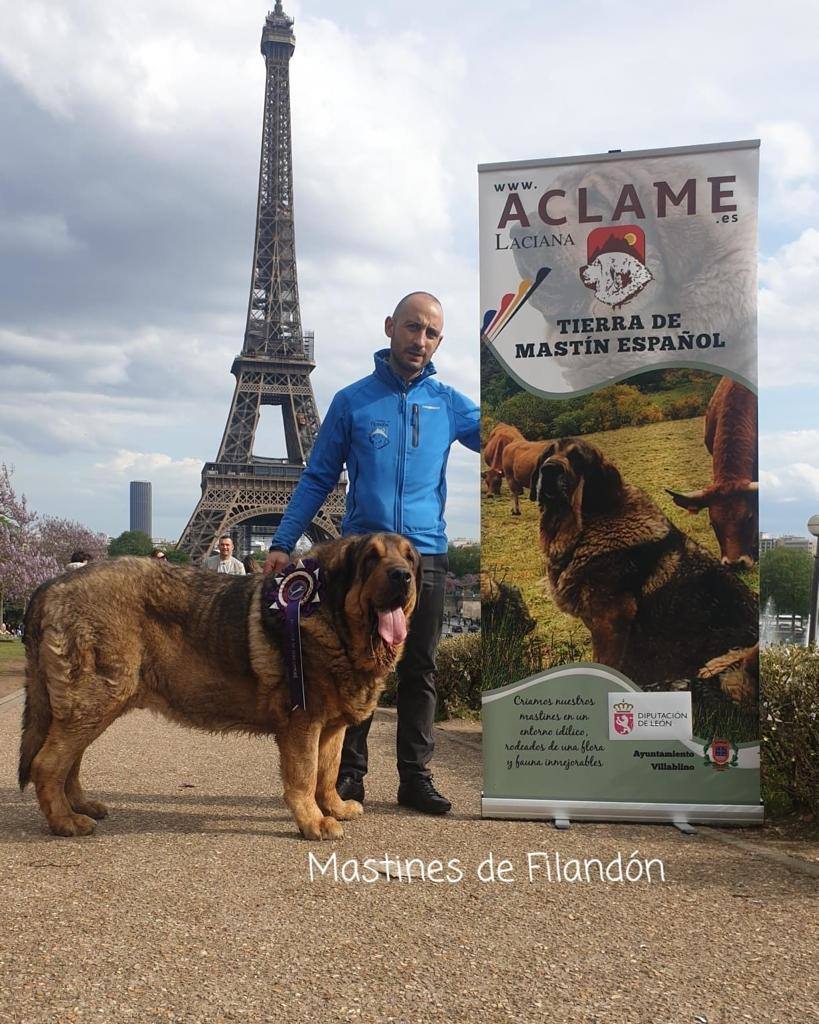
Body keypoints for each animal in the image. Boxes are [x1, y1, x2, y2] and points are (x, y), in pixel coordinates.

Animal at [19, 536, 421, 839]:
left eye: (409, 557)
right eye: (371, 558)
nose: (403, 576)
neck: (333, 617)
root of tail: (51, 586)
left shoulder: (331, 728)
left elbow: (328, 772)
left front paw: (334, 807)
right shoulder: (303, 724)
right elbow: (305, 777)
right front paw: (312, 821)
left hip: (92, 706)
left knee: (69, 760)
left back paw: (79, 806)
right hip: (96, 698)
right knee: (48, 764)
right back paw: (65, 821)